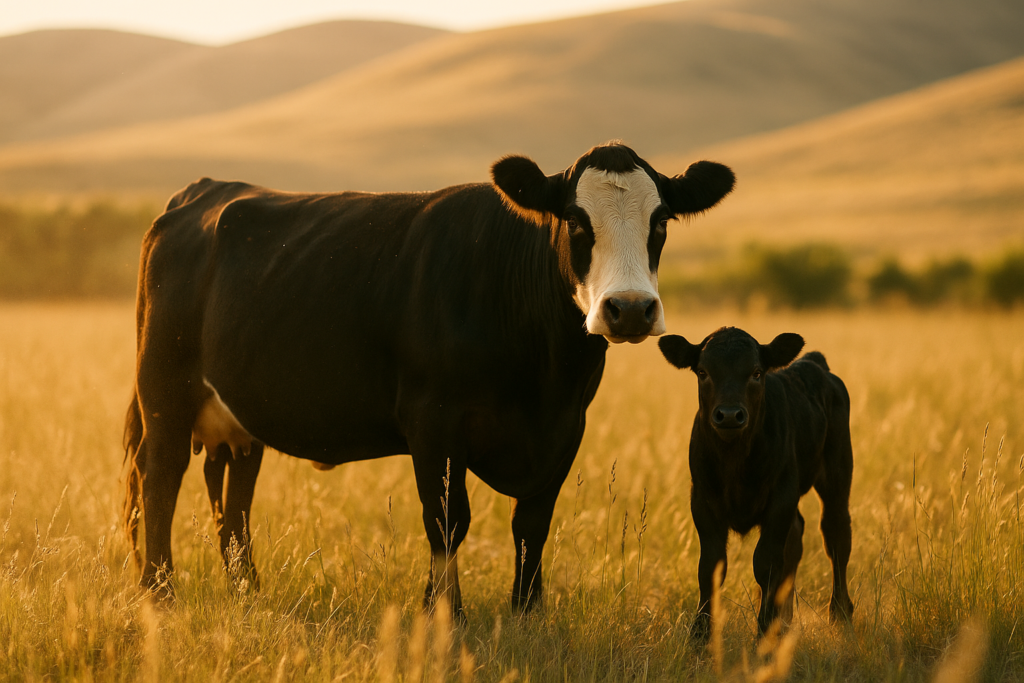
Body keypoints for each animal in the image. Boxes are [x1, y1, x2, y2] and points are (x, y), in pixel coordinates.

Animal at [123, 142, 734, 615]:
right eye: (577, 221)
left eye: (660, 221)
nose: (628, 309)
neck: (542, 375)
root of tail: (201, 192)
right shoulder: (433, 422)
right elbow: (447, 520)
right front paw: (444, 612)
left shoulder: (565, 428)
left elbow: (532, 523)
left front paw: (527, 610)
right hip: (164, 392)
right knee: (160, 478)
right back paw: (160, 592)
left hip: (240, 414)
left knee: (233, 493)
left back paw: (246, 589)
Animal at [658, 327, 854, 639]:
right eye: (702, 372)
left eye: (757, 372)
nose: (728, 415)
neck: (734, 462)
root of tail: (813, 363)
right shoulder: (702, 501)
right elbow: (710, 567)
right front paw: (700, 634)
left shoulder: (780, 498)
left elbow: (766, 564)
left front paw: (764, 631)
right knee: (797, 532)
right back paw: (785, 619)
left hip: (837, 471)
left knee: (836, 534)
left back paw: (840, 614)